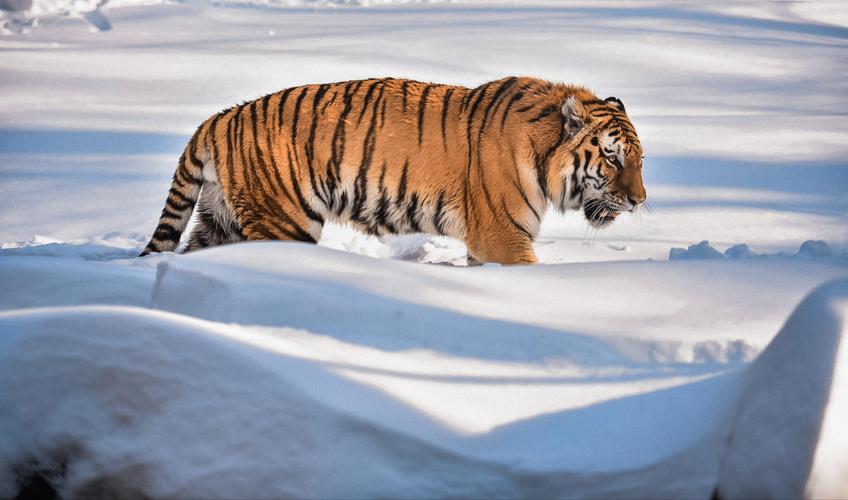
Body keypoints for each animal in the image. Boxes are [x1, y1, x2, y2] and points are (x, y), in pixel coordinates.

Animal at [139, 76, 644, 264]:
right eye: (613, 158)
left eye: (640, 161)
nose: (639, 201)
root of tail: (219, 117)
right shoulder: (503, 236)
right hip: (283, 220)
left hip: (220, 219)